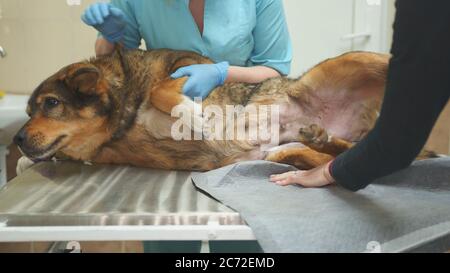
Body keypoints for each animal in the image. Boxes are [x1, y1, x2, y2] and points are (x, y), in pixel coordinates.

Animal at [12, 46, 436, 170]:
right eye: (29, 110)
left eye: (51, 104)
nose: (15, 139)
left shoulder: (185, 67)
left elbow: (162, 90)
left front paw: (196, 119)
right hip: (293, 153)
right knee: (337, 152)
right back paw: (318, 136)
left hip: (357, 59)